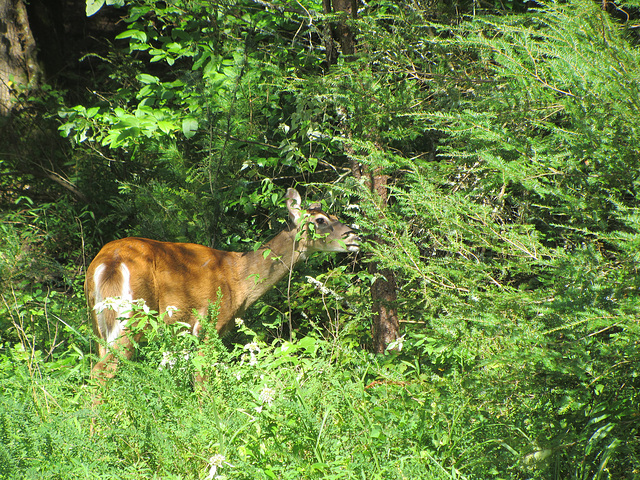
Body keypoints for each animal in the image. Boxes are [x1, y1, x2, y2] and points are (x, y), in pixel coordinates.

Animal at [85, 188, 360, 378]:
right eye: (321, 220)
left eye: (334, 215)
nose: (355, 237)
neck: (238, 278)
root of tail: (110, 262)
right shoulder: (208, 322)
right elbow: (202, 377)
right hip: (133, 315)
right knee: (104, 370)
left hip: (98, 323)